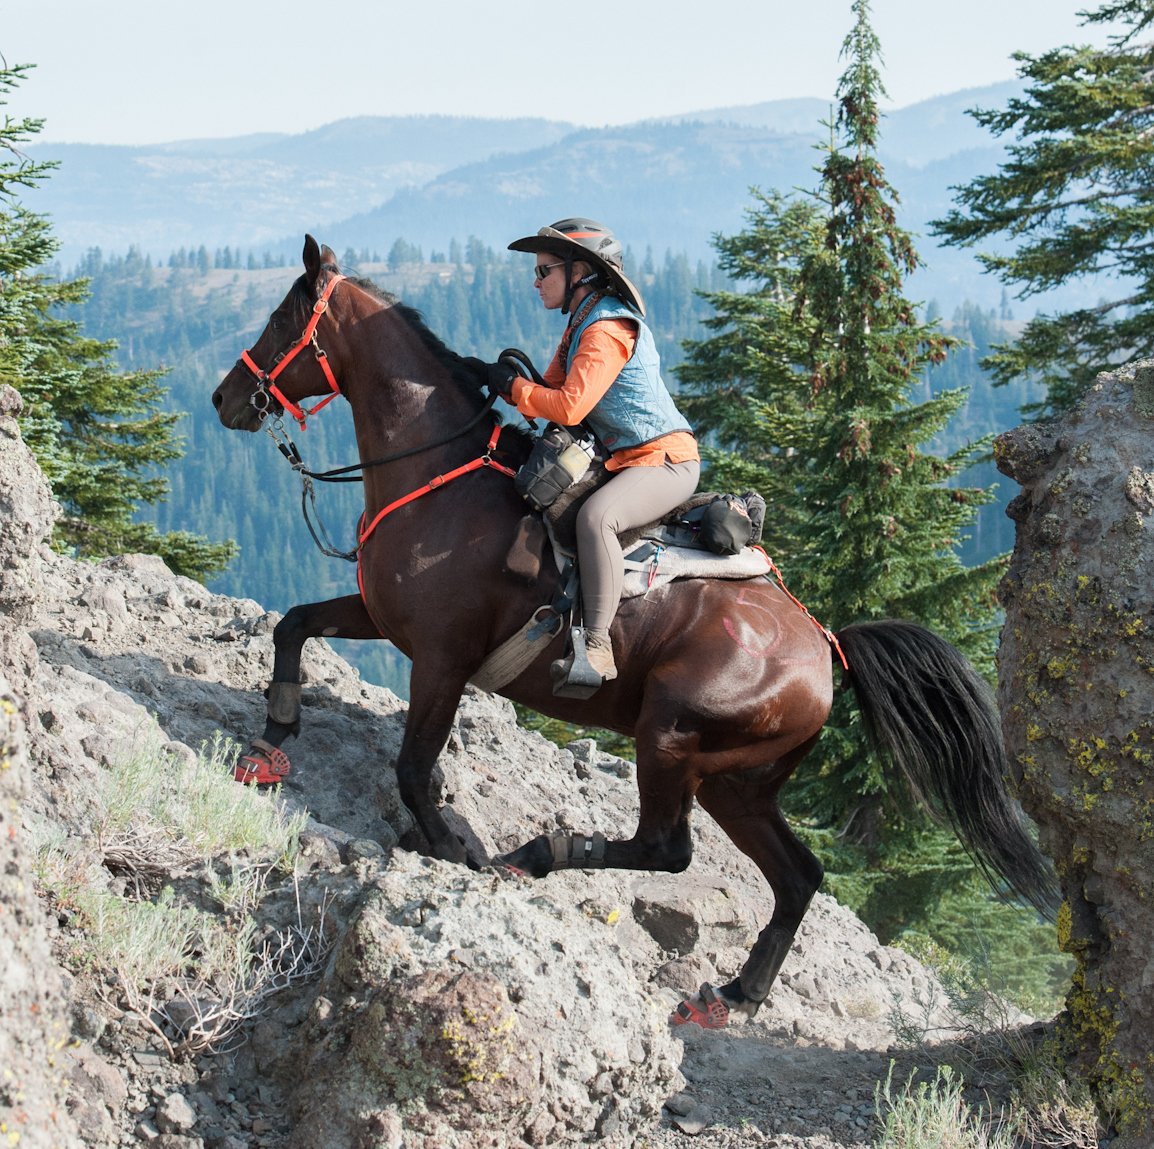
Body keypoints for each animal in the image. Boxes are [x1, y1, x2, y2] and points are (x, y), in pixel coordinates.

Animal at [210, 237, 1057, 1029]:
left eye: (282, 316)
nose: (225, 397)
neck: (439, 475)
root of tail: (826, 646)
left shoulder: (442, 660)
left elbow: (416, 768)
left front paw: (453, 845)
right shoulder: (385, 620)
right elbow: (293, 626)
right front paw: (269, 742)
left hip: (671, 737)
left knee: (666, 848)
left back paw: (538, 852)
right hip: (736, 783)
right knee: (798, 875)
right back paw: (736, 992)